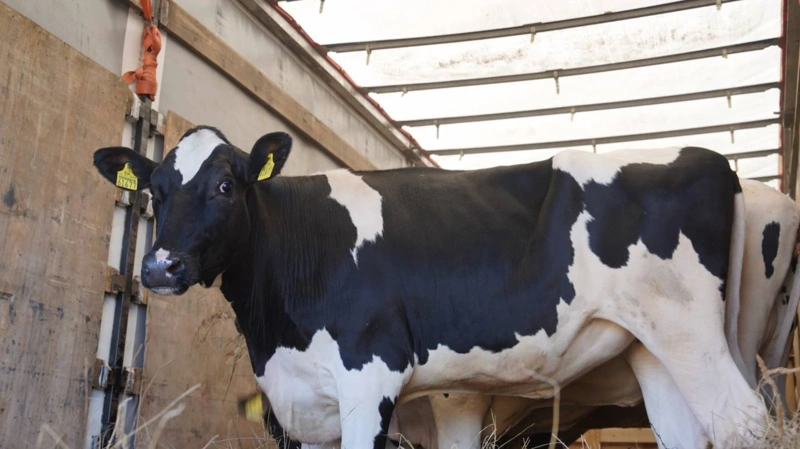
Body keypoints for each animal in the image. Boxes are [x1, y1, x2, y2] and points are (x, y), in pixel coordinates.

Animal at [93, 125, 768, 448]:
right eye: (156, 190)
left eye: (226, 186)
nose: (159, 268)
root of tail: (709, 157)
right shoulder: (308, 406)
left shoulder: (371, 374)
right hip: (651, 347)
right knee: (687, 432)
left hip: (691, 332)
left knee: (744, 423)